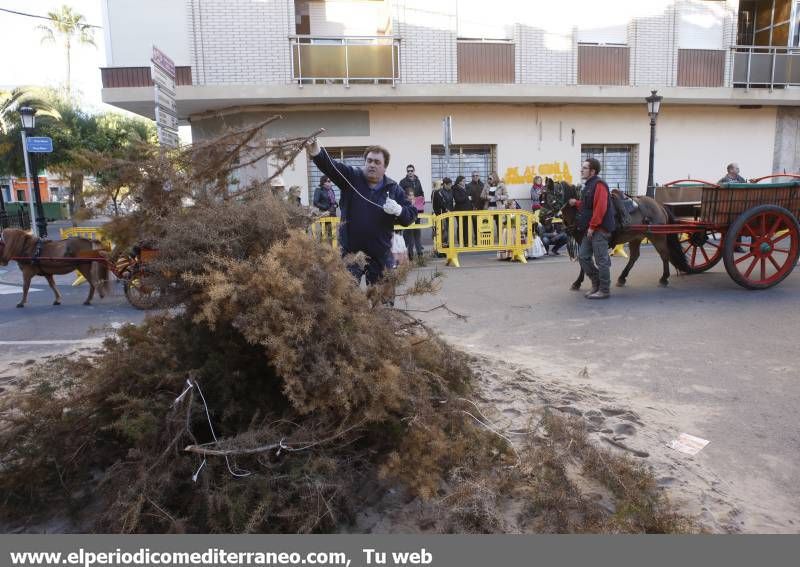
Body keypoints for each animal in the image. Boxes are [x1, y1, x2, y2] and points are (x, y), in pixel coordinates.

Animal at [560, 194, 692, 288]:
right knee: (634, 256)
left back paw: (664, 278)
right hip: (636, 238)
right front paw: (581, 281)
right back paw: (622, 277)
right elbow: (584, 261)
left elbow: (584, 262)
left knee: (664, 255)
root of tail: (659, 205)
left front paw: (579, 282)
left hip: (657, 237)